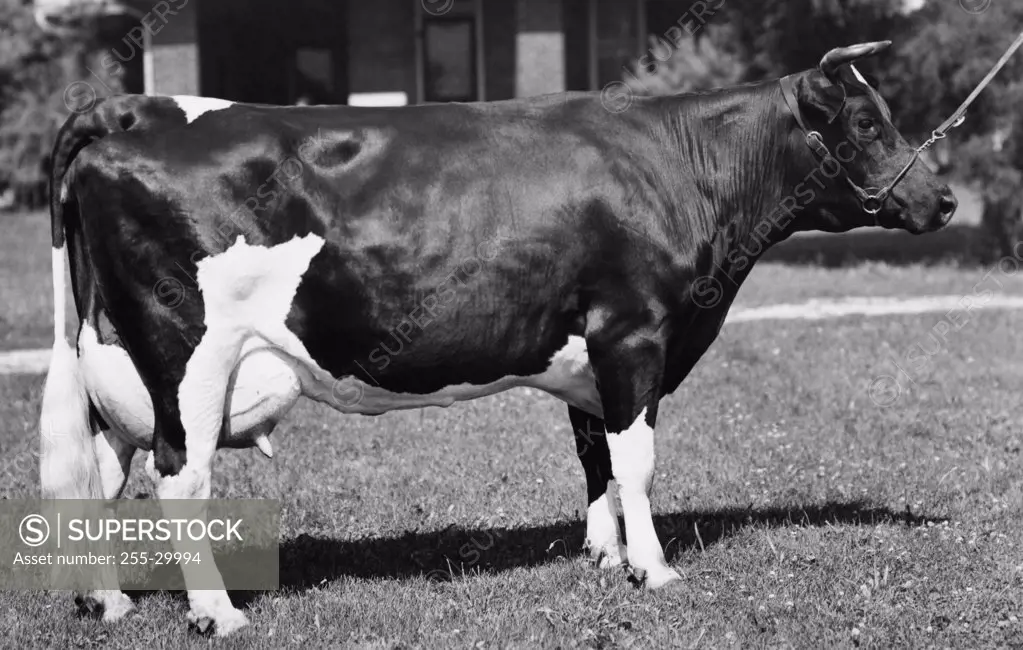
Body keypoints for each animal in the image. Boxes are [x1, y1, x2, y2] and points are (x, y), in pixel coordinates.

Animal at [43, 43, 957, 638]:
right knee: (179, 478)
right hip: (187, 356)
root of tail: (135, 107)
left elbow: (594, 458)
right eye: (865, 122)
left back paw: (109, 602)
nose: (942, 200)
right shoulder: (634, 333)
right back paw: (217, 614)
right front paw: (654, 569)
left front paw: (603, 557)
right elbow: (635, 461)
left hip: (115, 363)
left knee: (99, 478)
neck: (681, 167)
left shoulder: (589, 353)